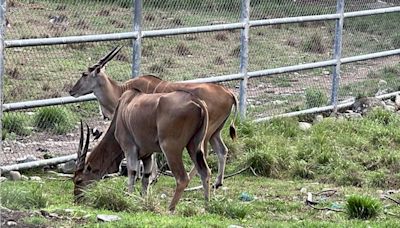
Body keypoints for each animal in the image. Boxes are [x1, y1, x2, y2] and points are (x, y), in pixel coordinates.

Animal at [69, 46, 238, 189]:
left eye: (84, 74)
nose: (71, 91)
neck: (121, 91)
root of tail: (229, 93)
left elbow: (151, 154)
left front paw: (149, 178)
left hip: (206, 132)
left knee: (205, 153)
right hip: (215, 132)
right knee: (222, 150)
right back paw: (218, 182)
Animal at [76, 90, 212, 211]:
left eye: (78, 180)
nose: (77, 198)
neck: (122, 109)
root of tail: (197, 101)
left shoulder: (129, 149)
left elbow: (132, 173)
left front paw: (129, 198)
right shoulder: (147, 155)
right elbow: (145, 177)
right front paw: (143, 201)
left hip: (171, 149)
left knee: (182, 178)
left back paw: (170, 209)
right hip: (194, 147)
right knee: (205, 172)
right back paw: (207, 206)